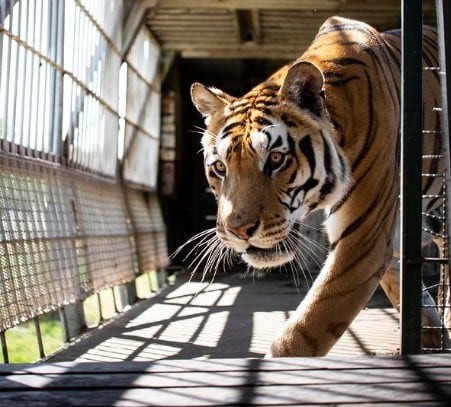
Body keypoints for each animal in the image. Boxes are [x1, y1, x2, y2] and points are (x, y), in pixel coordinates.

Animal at [189, 15, 446, 356]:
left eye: (275, 159)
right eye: (220, 167)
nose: (238, 231)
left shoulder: (363, 240)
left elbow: (303, 331)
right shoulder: (388, 239)